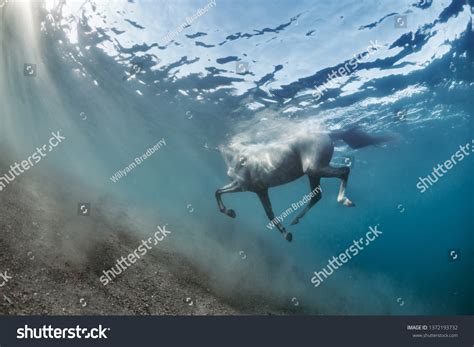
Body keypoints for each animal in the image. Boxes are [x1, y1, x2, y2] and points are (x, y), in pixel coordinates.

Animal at [217, 126, 390, 243]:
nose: (229, 173)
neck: (240, 158)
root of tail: (328, 135)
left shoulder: (242, 186)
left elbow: (217, 191)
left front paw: (230, 212)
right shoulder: (261, 190)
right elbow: (270, 214)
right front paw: (287, 234)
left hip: (314, 169)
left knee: (344, 171)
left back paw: (345, 200)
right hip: (313, 174)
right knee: (317, 195)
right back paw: (295, 219)